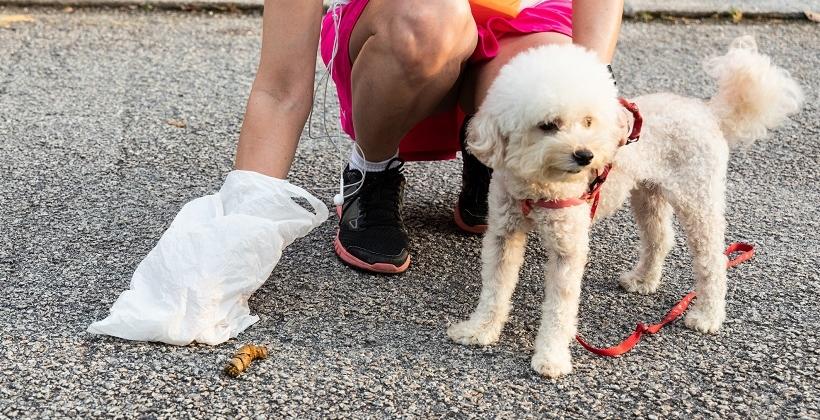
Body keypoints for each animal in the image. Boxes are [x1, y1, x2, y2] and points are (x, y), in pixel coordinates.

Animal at [446, 37, 804, 378]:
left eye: (588, 121)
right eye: (548, 125)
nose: (586, 155)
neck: (538, 185)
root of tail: (708, 111)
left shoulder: (568, 246)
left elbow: (560, 308)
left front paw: (551, 357)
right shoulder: (503, 233)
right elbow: (495, 287)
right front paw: (480, 329)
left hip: (697, 198)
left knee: (711, 261)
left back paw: (707, 315)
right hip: (648, 194)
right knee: (660, 239)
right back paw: (643, 280)